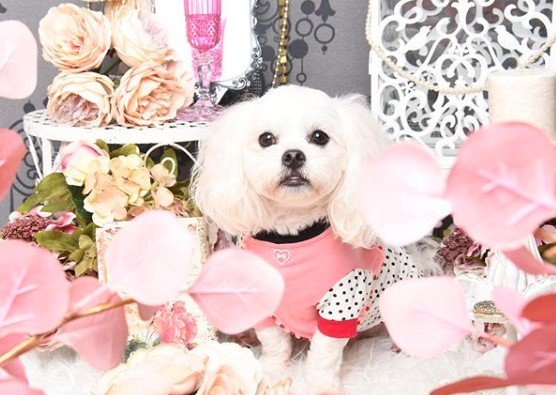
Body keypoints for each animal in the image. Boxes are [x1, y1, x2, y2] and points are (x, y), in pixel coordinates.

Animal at [193, 87, 424, 395]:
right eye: (266, 139)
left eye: (319, 137)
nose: (293, 156)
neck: (290, 240)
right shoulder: (263, 297)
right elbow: (274, 346)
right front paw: (273, 377)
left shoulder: (341, 303)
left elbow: (323, 355)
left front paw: (322, 387)